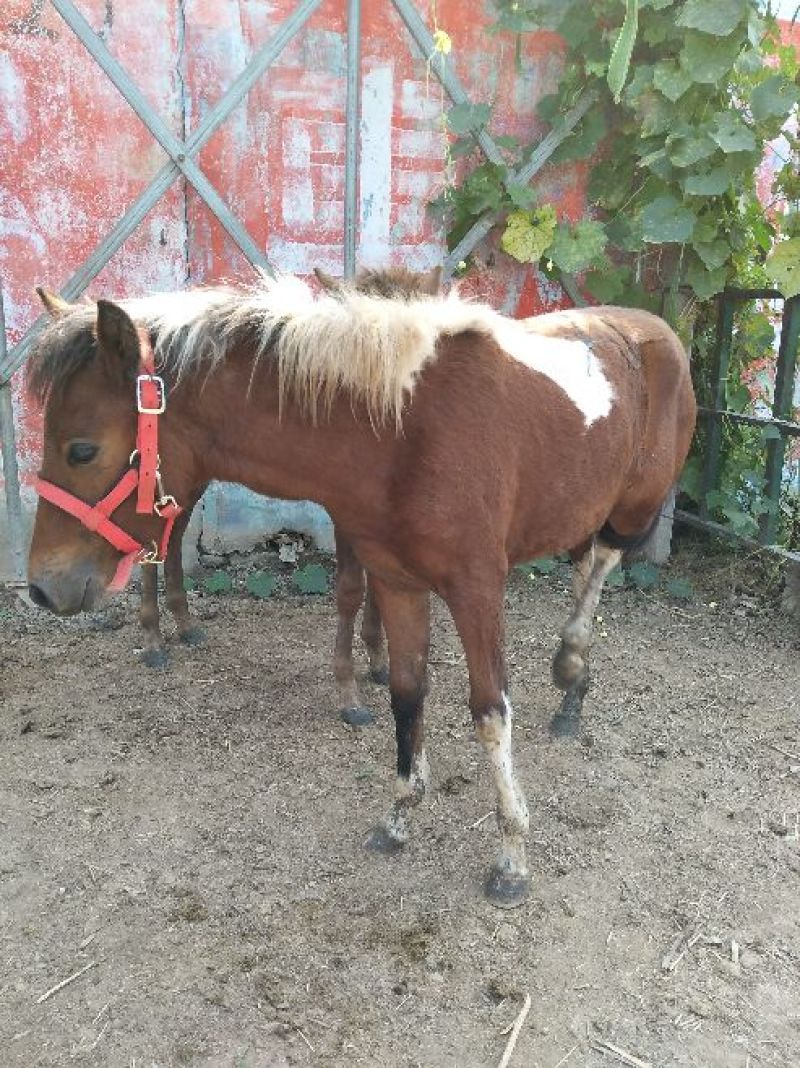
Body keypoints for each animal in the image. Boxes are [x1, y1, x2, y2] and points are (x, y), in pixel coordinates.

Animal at [26, 271, 696, 907]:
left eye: (82, 449)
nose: (41, 587)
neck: (403, 433)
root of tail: (657, 327)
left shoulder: (478, 589)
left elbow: (489, 710)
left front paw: (511, 857)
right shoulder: (397, 582)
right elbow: (406, 694)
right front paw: (399, 817)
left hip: (632, 510)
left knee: (600, 565)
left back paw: (571, 667)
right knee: (585, 566)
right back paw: (571, 686)